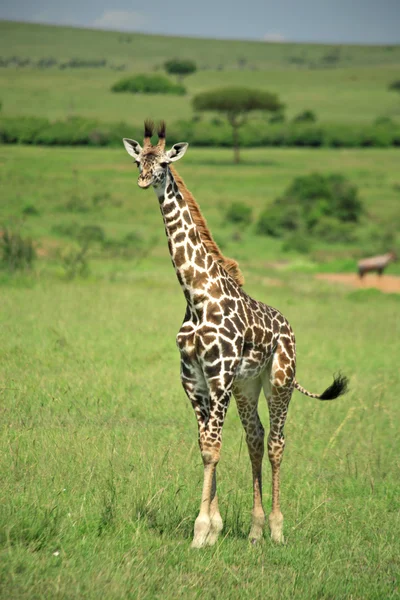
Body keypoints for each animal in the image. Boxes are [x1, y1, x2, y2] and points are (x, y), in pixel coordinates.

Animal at [123, 120, 348, 548]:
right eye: (138, 159)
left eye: (163, 162)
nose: (144, 180)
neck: (196, 295)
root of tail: (289, 327)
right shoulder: (193, 379)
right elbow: (206, 446)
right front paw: (215, 528)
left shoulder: (219, 376)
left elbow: (212, 448)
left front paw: (201, 532)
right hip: (249, 386)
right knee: (255, 438)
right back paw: (256, 530)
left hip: (279, 380)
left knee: (276, 443)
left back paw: (277, 529)